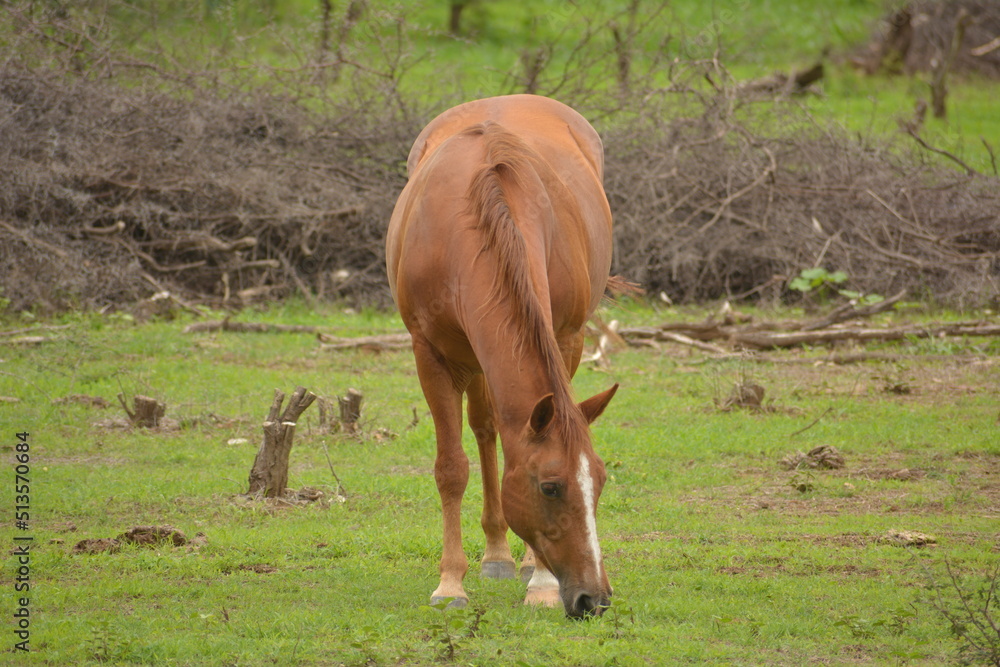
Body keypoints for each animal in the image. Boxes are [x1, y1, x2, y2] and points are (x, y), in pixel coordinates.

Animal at [385, 94, 617, 618]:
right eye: (549, 486)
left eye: (600, 480)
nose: (593, 599)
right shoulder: (431, 355)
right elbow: (452, 469)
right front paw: (450, 583)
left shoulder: (564, 338)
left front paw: (544, 583)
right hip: (471, 358)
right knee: (485, 429)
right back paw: (495, 554)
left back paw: (522, 562)